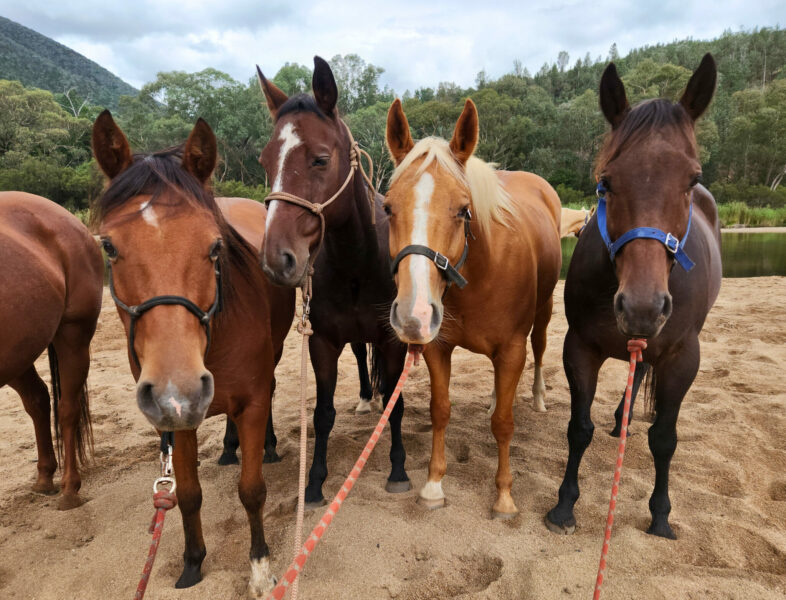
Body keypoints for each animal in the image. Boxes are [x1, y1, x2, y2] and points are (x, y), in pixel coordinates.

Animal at [0, 192, 102, 510]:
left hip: (72, 336)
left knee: (67, 408)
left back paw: (69, 489)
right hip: (19, 353)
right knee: (38, 400)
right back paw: (45, 478)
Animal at [91, 112, 295, 596]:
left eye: (215, 245)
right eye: (108, 246)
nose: (177, 389)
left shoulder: (252, 401)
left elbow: (252, 490)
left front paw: (260, 567)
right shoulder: (175, 421)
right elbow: (186, 495)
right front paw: (193, 562)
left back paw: (269, 446)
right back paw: (227, 448)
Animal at [256, 55, 410, 509]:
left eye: (320, 159)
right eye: (266, 162)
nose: (277, 259)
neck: (357, 260)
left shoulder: (392, 340)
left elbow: (396, 404)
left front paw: (398, 469)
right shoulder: (322, 341)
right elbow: (322, 415)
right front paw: (314, 483)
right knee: (359, 357)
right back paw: (362, 398)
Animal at [384, 98, 562, 518]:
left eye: (464, 210)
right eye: (387, 208)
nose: (414, 315)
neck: (479, 274)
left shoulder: (512, 350)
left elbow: (503, 424)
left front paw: (504, 496)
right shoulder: (437, 348)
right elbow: (441, 410)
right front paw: (433, 485)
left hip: (544, 312)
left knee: (540, 351)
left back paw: (539, 397)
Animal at [545, 54, 722, 539]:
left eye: (692, 178)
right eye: (606, 181)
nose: (643, 306)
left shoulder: (683, 357)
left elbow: (664, 438)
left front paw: (660, 514)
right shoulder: (579, 347)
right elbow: (577, 428)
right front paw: (564, 506)